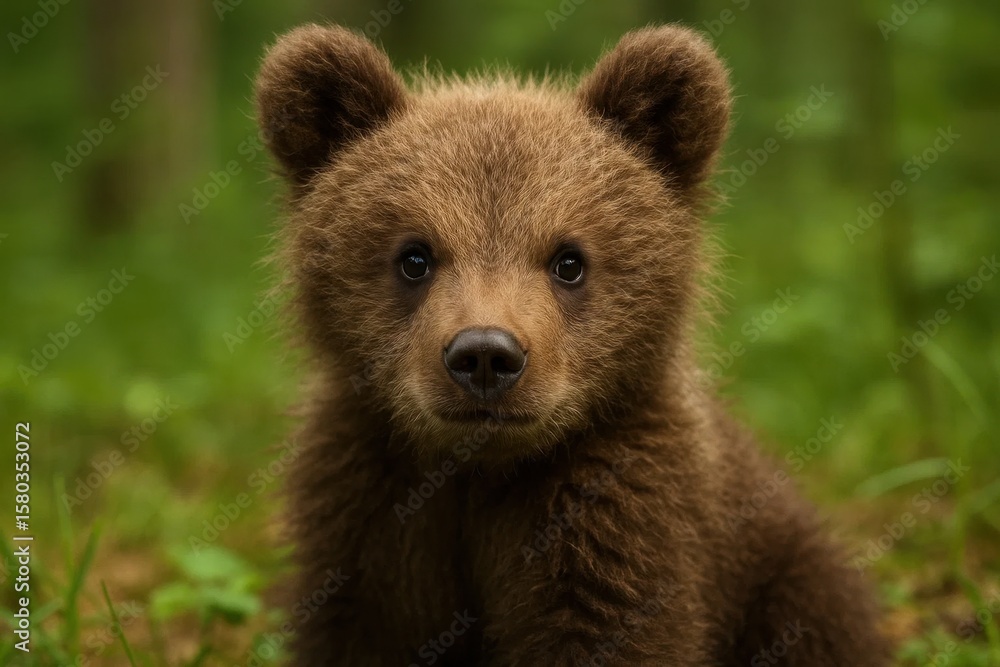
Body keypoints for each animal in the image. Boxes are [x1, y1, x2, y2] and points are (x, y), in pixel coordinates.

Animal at [253, 23, 893, 666]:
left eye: (569, 260)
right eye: (415, 256)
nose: (485, 355)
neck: (480, 471)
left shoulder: (615, 513)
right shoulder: (370, 517)